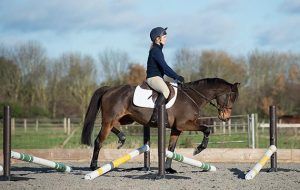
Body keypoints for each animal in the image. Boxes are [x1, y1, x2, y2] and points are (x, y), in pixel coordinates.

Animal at [80, 77, 239, 174]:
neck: (192, 98)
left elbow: (171, 148)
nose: (225, 117)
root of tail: (109, 89)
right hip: (111, 119)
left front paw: (168, 169)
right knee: (99, 141)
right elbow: (207, 129)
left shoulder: (177, 129)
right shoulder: (185, 124)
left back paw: (122, 137)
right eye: (231, 97)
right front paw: (198, 149)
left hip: (125, 119)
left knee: (113, 128)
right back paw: (94, 166)